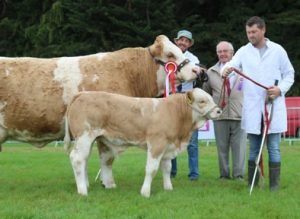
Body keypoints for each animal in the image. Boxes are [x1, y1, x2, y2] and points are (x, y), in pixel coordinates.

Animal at [64, 88, 221, 198]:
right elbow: (151, 169)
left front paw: (168, 188)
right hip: (85, 136)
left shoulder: (167, 146)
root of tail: (82, 94)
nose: (219, 111)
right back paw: (82, 191)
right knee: (77, 159)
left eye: (211, 98)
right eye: (202, 101)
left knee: (86, 160)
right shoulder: (157, 143)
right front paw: (145, 192)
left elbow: (167, 168)